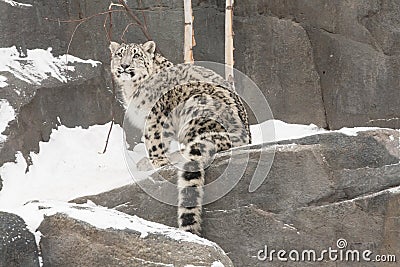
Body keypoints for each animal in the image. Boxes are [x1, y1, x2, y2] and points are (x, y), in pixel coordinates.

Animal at [110, 40, 250, 236]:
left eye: (136, 55)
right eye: (119, 54)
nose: (124, 65)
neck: (132, 89)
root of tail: (244, 138)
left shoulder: (156, 116)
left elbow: (154, 141)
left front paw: (155, 162)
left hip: (195, 107)